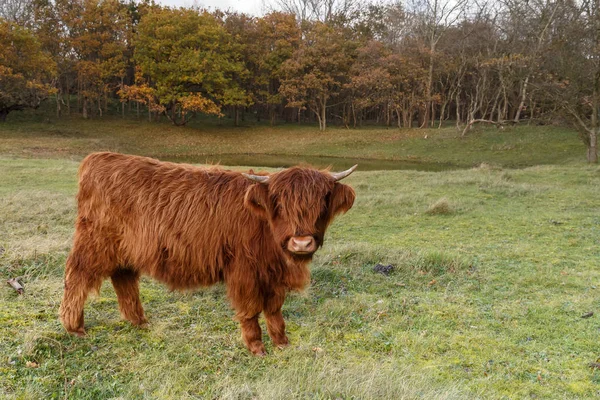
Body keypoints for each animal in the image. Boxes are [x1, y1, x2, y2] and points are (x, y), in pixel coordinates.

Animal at [59, 152, 356, 354]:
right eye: (280, 204)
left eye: (322, 203)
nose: (302, 243)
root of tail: (100, 158)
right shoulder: (244, 270)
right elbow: (251, 309)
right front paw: (256, 347)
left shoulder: (273, 274)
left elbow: (274, 309)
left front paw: (282, 343)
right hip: (94, 243)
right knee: (77, 276)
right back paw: (74, 327)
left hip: (126, 250)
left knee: (124, 279)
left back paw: (139, 322)